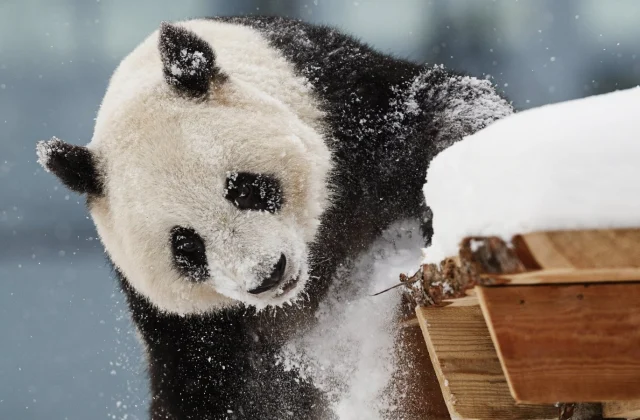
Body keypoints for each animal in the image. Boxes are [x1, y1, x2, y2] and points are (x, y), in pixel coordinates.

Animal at [36, 17, 512, 420]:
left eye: (244, 189)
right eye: (186, 247)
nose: (267, 275)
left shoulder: (346, 109)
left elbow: (439, 109)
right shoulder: (187, 327)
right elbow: (212, 393)